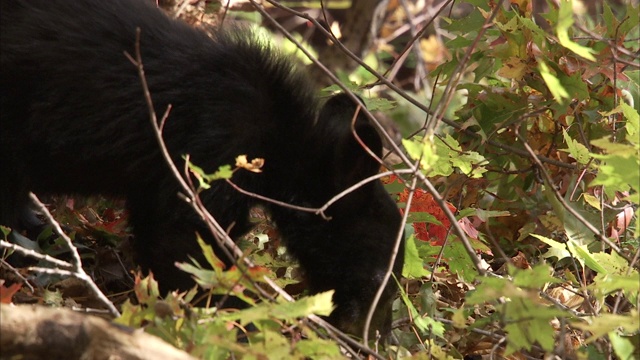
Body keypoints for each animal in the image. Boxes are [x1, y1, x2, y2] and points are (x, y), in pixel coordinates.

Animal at [1, 0, 404, 338]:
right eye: (378, 277)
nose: (375, 338)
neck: (276, 140)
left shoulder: (159, 178)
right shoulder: (211, 153)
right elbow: (187, 240)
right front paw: (237, 317)